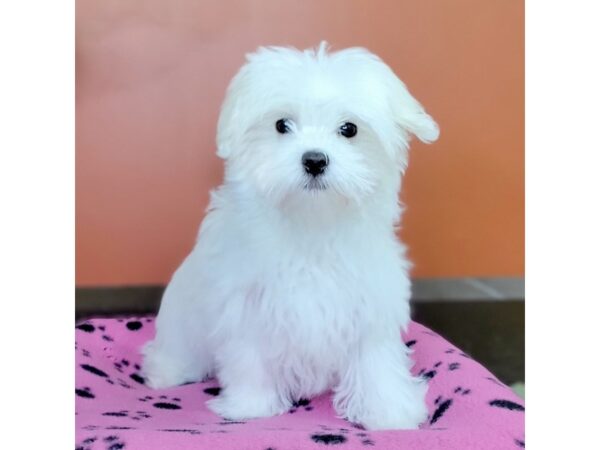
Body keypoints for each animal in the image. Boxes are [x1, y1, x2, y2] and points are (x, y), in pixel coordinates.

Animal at [143, 41, 438, 428]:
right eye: (282, 125)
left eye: (349, 129)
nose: (314, 160)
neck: (311, 223)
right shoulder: (247, 306)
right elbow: (250, 358)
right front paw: (250, 406)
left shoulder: (368, 302)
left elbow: (375, 360)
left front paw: (389, 411)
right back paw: (166, 372)